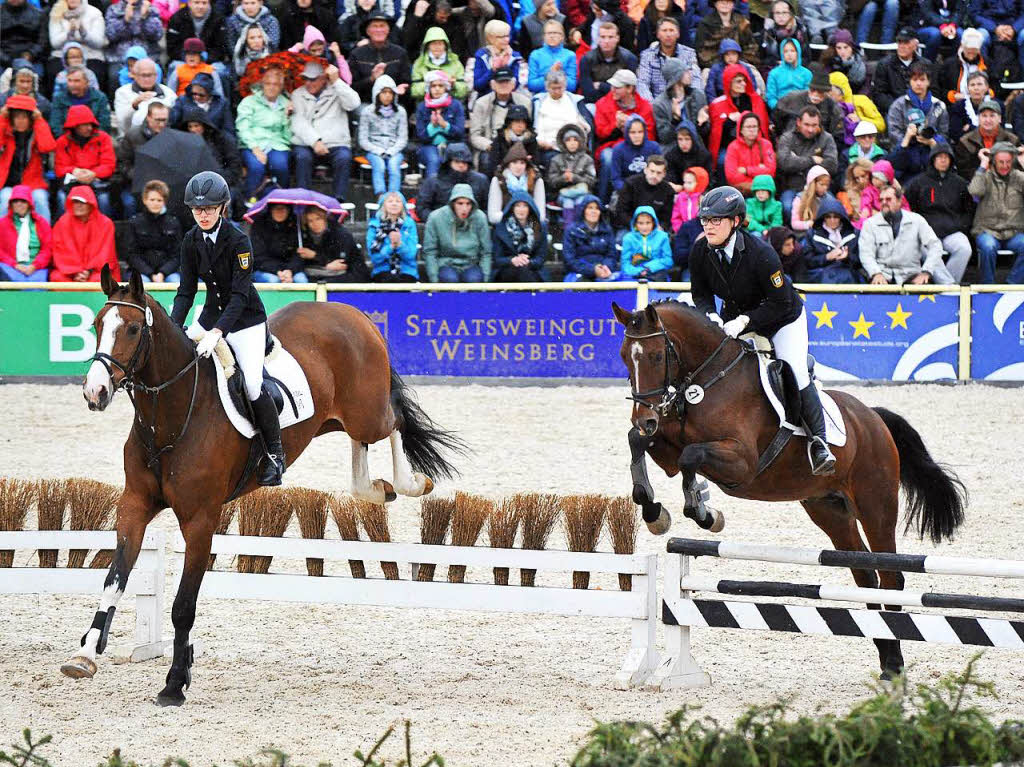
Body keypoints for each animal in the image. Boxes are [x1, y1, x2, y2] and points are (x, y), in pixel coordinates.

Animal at [61, 266, 462, 704]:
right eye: (98, 325)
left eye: (133, 329)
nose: (94, 392)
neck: (170, 417)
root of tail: (349, 311)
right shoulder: (134, 506)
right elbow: (114, 579)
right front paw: (85, 654)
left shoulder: (200, 520)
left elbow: (183, 605)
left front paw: (174, 683)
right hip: (335, 420)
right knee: (363, 448)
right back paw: (376, 488)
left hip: (365, 409)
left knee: (393, 422)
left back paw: (411, 483)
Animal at [610, 303, 962, 679]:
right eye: (624, 356)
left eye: (657, 355)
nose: (645, 418)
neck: (709, 380)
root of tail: (873, 418)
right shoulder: (668, 450)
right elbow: (639, 443)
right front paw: (654, 513)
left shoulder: (742, 462)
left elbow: (691, 456)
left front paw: (704, 513)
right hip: (829, 509)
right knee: (865, 574)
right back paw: (887, 656)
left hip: (876, 505)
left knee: (891, 576)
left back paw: (895, 665)